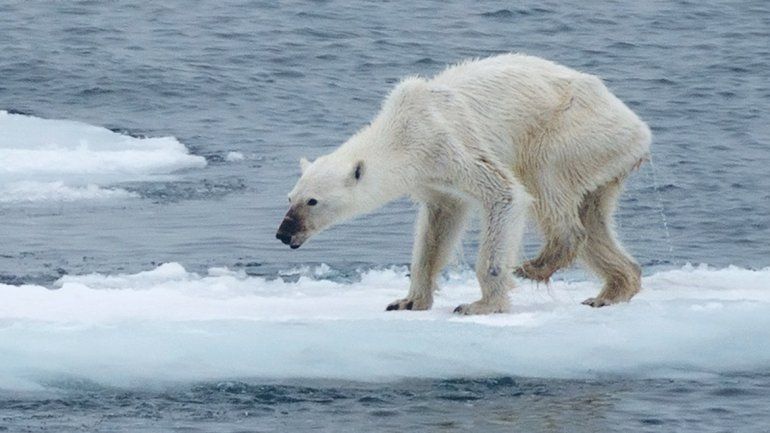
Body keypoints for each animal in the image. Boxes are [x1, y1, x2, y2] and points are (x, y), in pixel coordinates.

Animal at [276, 53, 651, 314]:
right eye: (290, 197)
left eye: (312, 201)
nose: (283, 233)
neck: (402, 131)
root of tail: (639, 129)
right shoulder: (433, 179)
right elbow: (437, 228)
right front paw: (407, 301)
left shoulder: (448, 143)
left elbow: (505, 194)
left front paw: (480, 305)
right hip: (603, 159)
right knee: (593, 217)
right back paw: (612, 290)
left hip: (575, 131)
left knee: (546, 179)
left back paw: (537, 265)